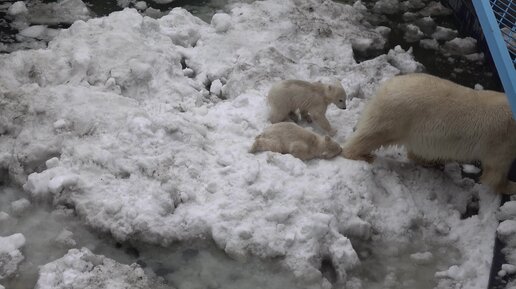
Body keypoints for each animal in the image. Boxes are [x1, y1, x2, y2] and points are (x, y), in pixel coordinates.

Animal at [342, 72, 516, 194]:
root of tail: (385, 87)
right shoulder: (502, 140)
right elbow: (496, 171)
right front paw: (510, 187)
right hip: (396, 116)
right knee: (371, 135)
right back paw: (362, 155)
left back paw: (429, 161)